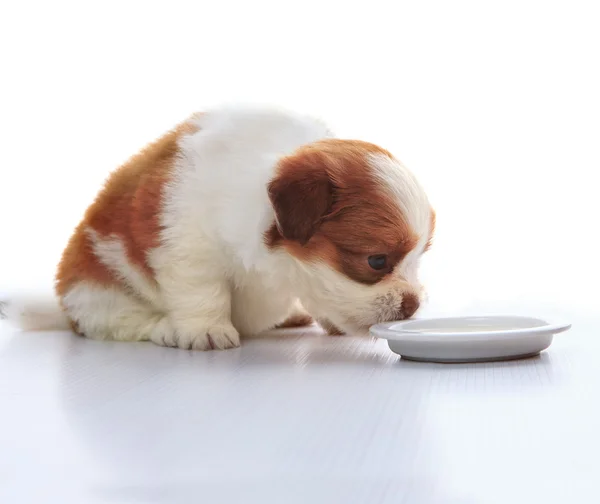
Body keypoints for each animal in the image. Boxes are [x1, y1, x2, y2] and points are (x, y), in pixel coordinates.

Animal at [0, 105, 432, 350]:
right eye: (377, 261)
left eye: (418, 259)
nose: (413, 304)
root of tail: (65, 308)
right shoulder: (188, 244)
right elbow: (203, 291)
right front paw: (204, 329)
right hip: (95, 289)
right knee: (115, 323)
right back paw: (165, 329)